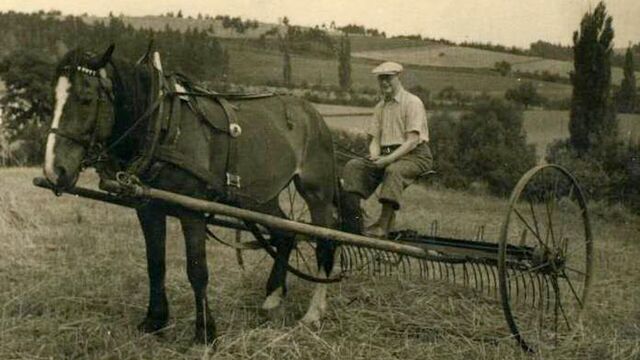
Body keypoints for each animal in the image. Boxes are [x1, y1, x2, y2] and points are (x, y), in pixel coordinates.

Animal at [42, 44, 348, 344]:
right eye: (53, 101)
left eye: (85, 99)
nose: (54, 170)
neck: (162, 126)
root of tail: (312, 113)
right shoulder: (149, 209)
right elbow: (156, 264)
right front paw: (154, 320)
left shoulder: (192, 211)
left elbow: (197, 270)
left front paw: (204, 331)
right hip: (261, 196)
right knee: (285, 234)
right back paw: (272, 299)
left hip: (317, 192)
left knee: (325, 243)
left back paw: (313, 312)